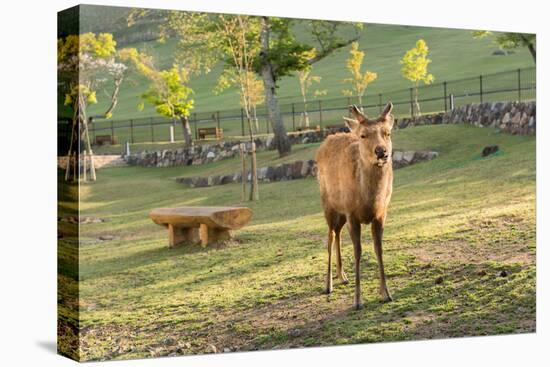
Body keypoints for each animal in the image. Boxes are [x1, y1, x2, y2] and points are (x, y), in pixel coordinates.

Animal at [314, 101, 396, 310]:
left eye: (387, 133)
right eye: (363, 135)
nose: (382, 152)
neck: (369, 200)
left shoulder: (381, 213)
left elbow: (378, 249)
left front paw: (386, 293)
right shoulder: (352, 213)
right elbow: (357, 252)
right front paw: (358, 301)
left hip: (341, 213)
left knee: (338, 233)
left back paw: (342, 276)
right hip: (328, 204)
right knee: (330, 236)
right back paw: (329, 284)